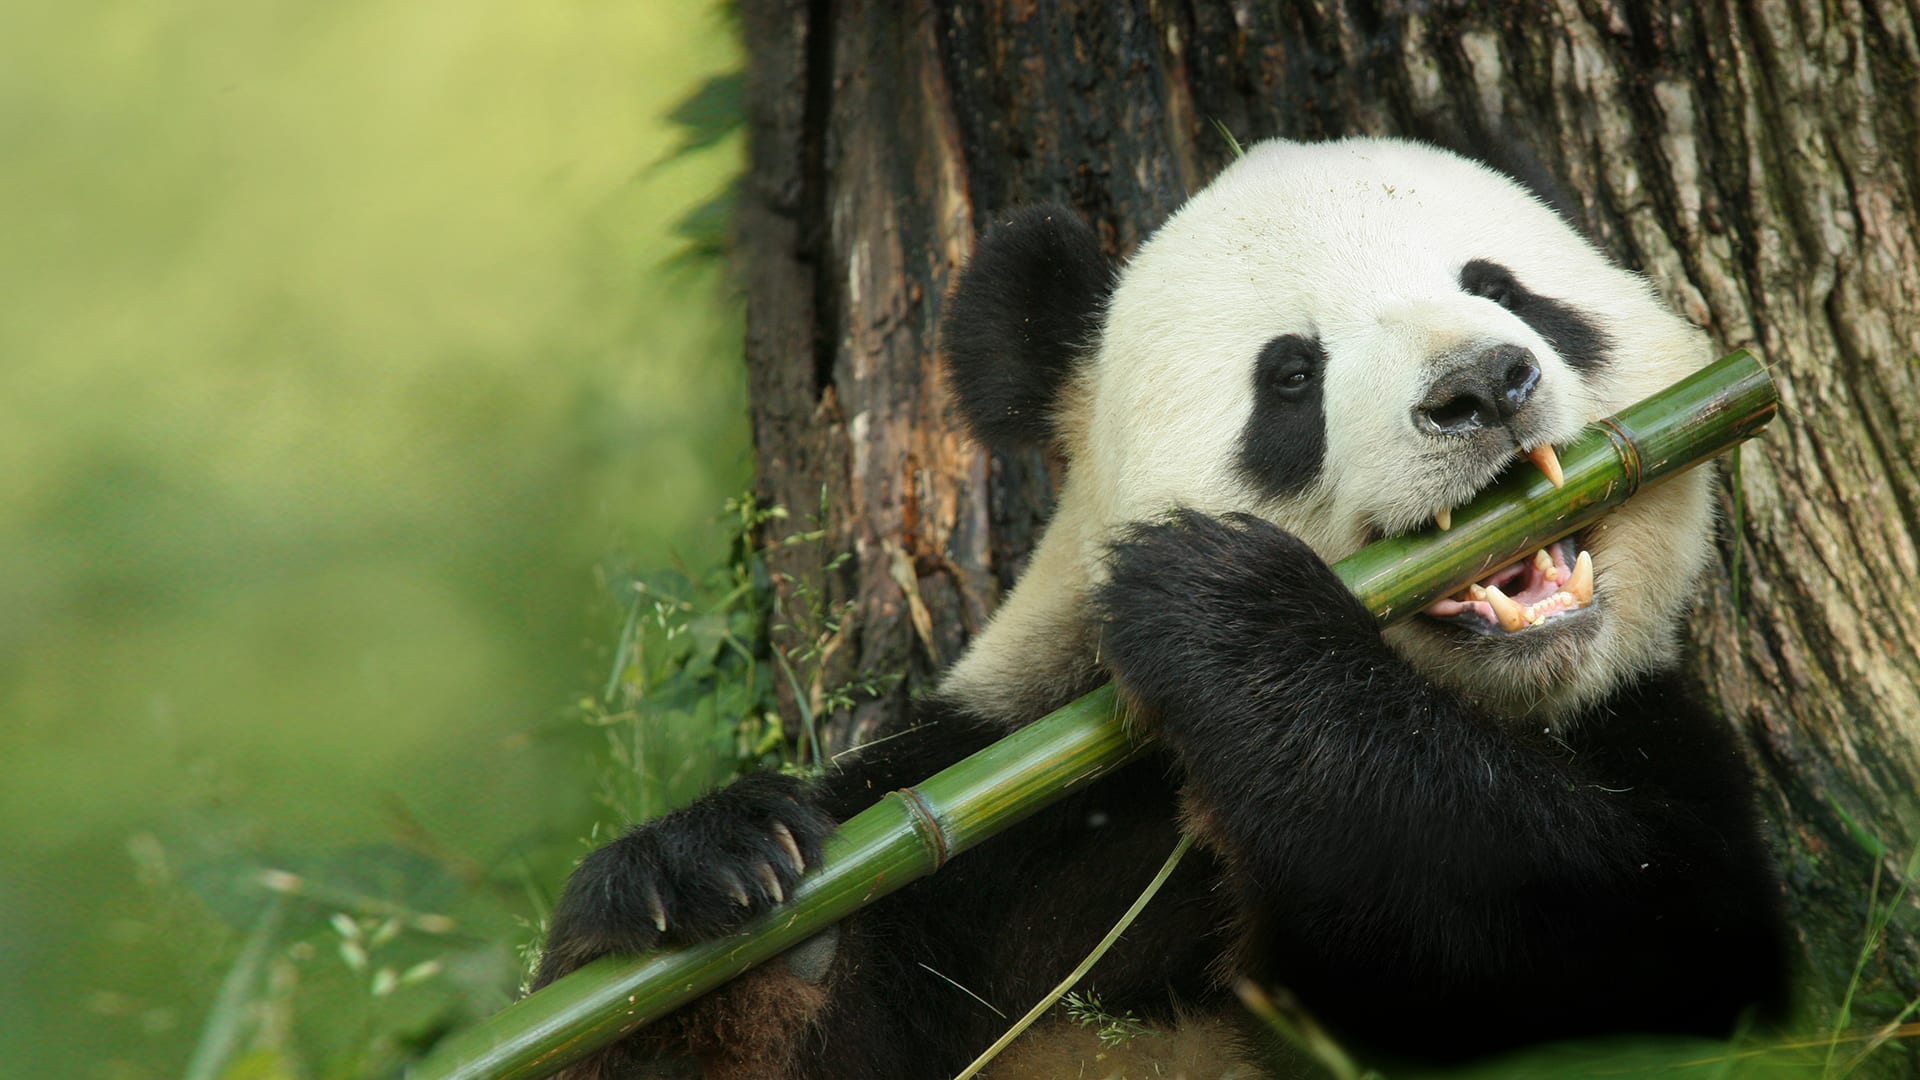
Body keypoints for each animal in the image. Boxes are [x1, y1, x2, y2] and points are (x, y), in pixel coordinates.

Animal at [534, 136, 1790, 1079]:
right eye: (1291, 375)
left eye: (1503, 287)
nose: (1482, 384)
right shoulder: (1000, 819)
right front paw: (709, 883)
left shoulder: (1647, 735)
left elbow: (1615, 947)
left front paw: (1225, 612)